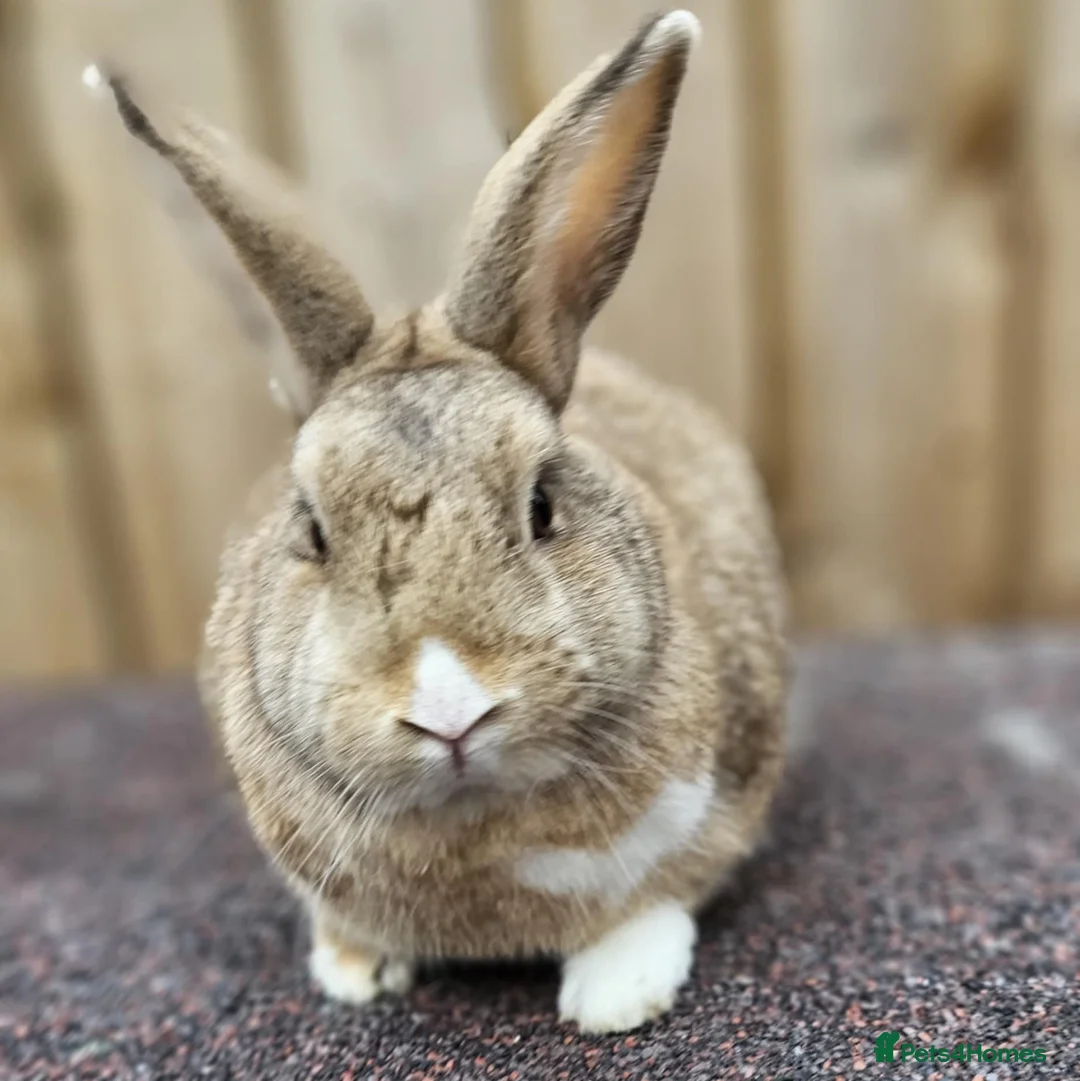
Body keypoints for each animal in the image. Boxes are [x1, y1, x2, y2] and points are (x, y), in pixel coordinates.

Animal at [104, 9, 789, 1034]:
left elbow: (656, 897)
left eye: (542, 504)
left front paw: (616, 996)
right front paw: (352, 971)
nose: (449, 709)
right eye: (312, 530)